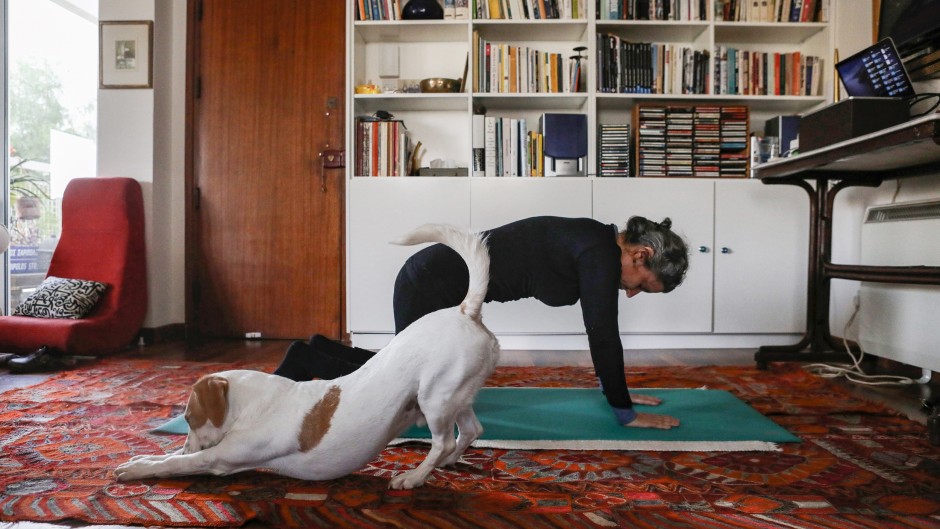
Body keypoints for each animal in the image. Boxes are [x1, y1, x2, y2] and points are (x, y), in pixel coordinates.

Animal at [115, 223, 500, 486]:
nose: (186, 447)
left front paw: (138, 467)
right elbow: (166, 458)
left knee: (442, 441)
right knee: (471, 430)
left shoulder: (220, 459)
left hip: (435, 397)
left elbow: (175, 465)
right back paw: (447, 463)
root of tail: (465, 310)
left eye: (190, 417)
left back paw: (416, 476)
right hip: (455, 396)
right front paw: (148, 456)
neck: (252, 406)